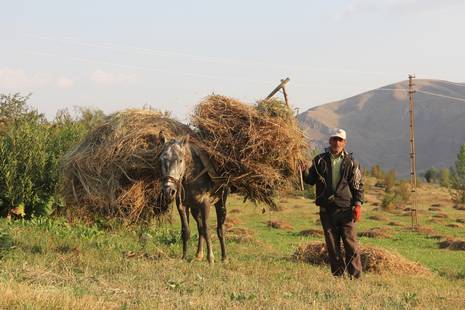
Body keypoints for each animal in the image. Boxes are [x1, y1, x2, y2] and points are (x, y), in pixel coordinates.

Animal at [159, 130, 227, 262]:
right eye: (161, 160)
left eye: (180, 160)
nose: (169, 191)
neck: (192, 177)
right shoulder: (182, 206)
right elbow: (186, 230)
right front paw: (184, 256)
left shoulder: (205, 204)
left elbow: (206, 229)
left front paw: (211, 258)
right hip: (195, 209)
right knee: (200, 227)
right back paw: (199, 254)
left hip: (220, 203)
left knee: (219, 229)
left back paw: (224, 257)